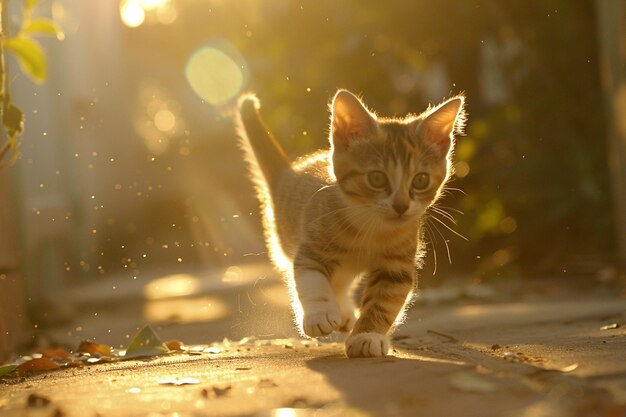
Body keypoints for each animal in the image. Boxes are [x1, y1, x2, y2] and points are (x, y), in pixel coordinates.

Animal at [234, 89, 464, 356]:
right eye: (377, 178)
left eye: (420, 180)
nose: (401, 206)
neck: (372, 227)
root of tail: (289, 174)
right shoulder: (312, 246)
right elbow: (311, 280)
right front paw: (320, 314)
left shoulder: (397, 267)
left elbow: (384, 302)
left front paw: (368, 335)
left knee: (342, 281)